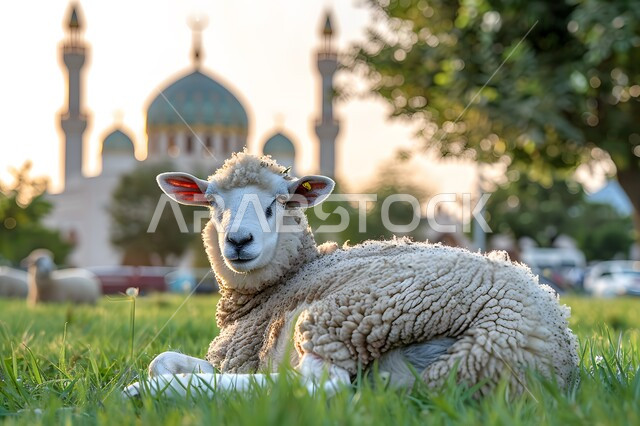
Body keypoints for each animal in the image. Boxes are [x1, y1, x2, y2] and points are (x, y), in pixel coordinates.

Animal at [124, 152, 578, 398]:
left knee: (315, 386)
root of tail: (513, 338)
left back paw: (146, 393)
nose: (238, 241)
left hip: (347, 315)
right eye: (212, 203)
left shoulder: (244, 356)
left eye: (278, 203)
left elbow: (163, 364)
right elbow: (162, 359)